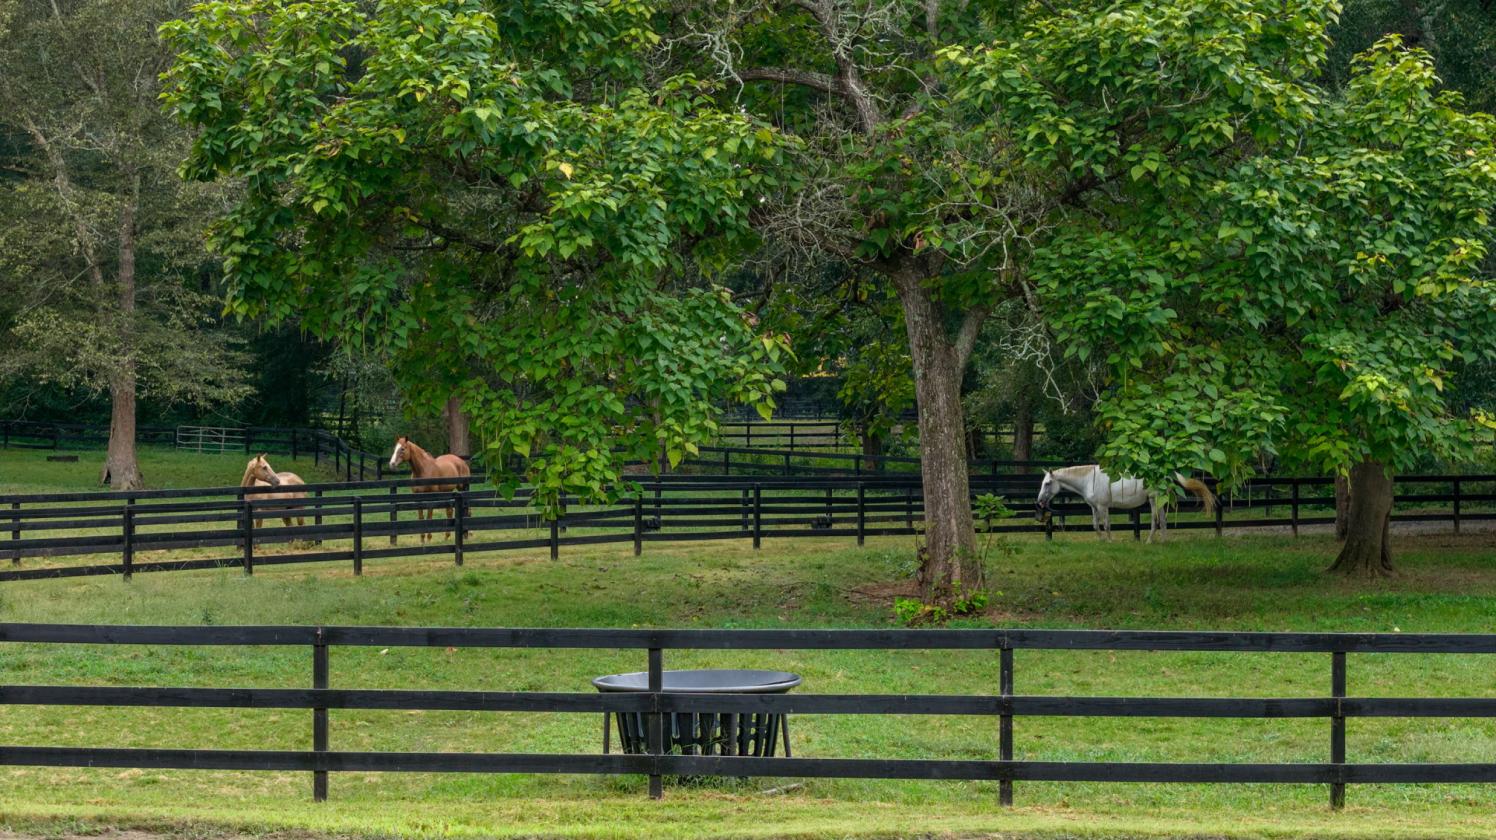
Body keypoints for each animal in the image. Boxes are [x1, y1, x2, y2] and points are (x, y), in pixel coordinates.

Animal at [1035, 465, 1215, 543]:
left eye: (1048, 483)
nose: (1040, 501)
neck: (1088, 479)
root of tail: (1164, 472)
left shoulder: (1103, 507)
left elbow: (1106, 525)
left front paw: (1110, 542)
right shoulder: (1094, 507)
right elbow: (1095, 525)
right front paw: (1101, 541)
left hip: (1153, 500)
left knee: (1155, 521)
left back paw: (1149, 541)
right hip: (1159, 501)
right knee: (1163, 521)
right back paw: (1163, 542)